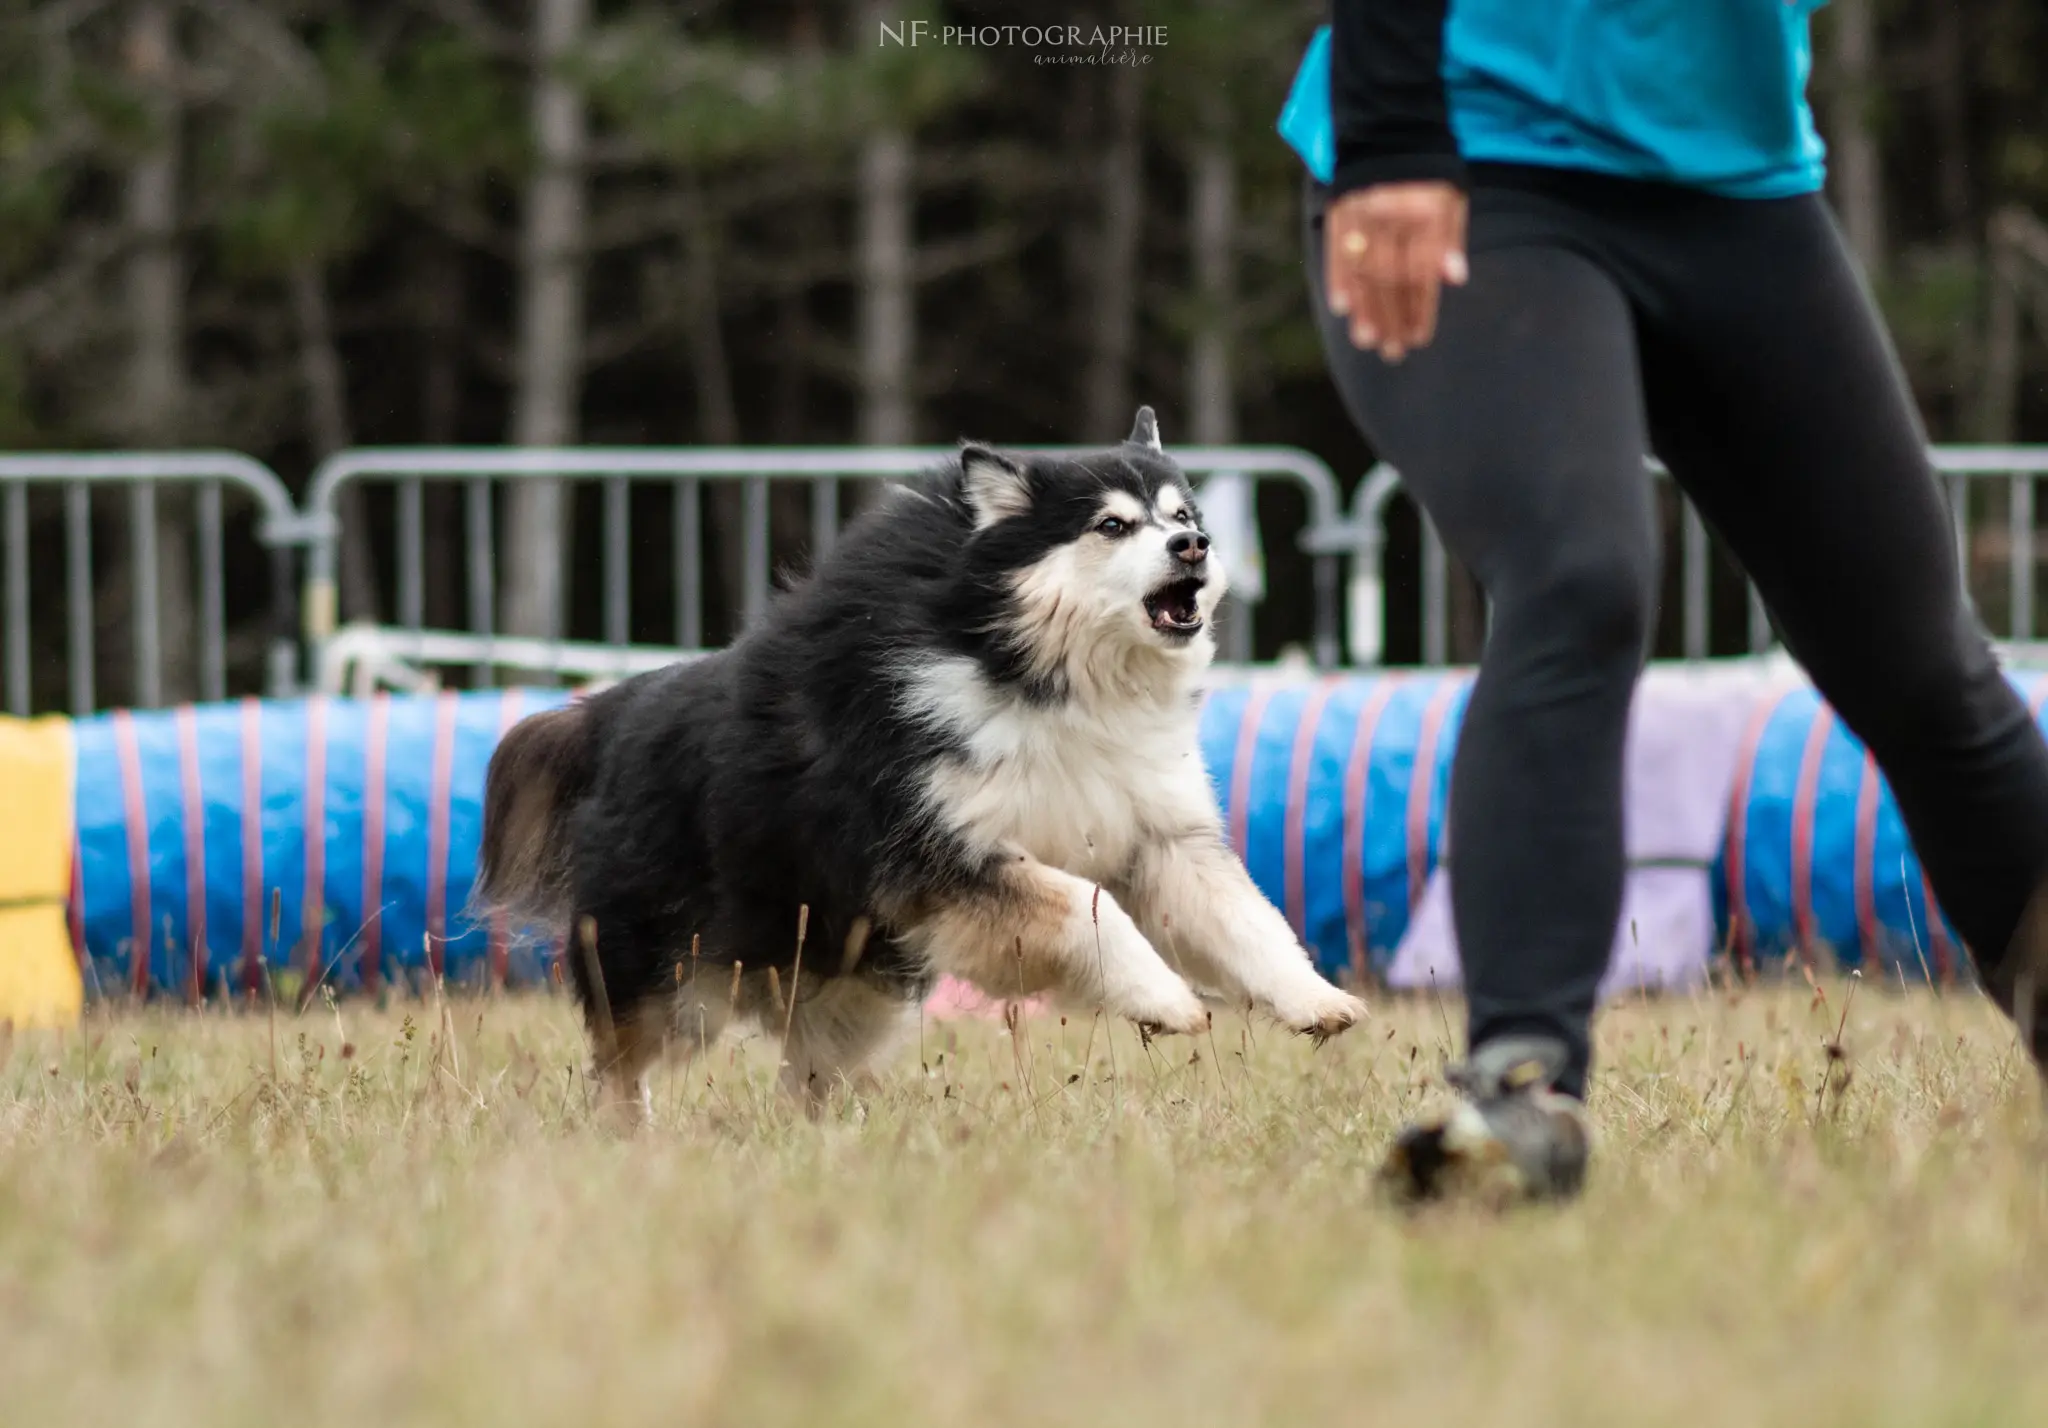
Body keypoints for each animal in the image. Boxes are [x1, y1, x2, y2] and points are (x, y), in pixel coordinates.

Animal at [477, 405, 1368, 1122]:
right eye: (1112, 527)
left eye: (1182, 515)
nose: (1196, 545)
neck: (1039, 671)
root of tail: (607, 713)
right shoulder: (944, 849)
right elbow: (1090, 906)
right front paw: (1166, 1002)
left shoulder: (1156, 832)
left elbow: (1248, 918)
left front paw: (1318, 1001)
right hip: (675, 975)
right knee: (624, 1059)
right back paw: (629, 1135)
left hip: (856, 985)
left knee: (807, 1069)